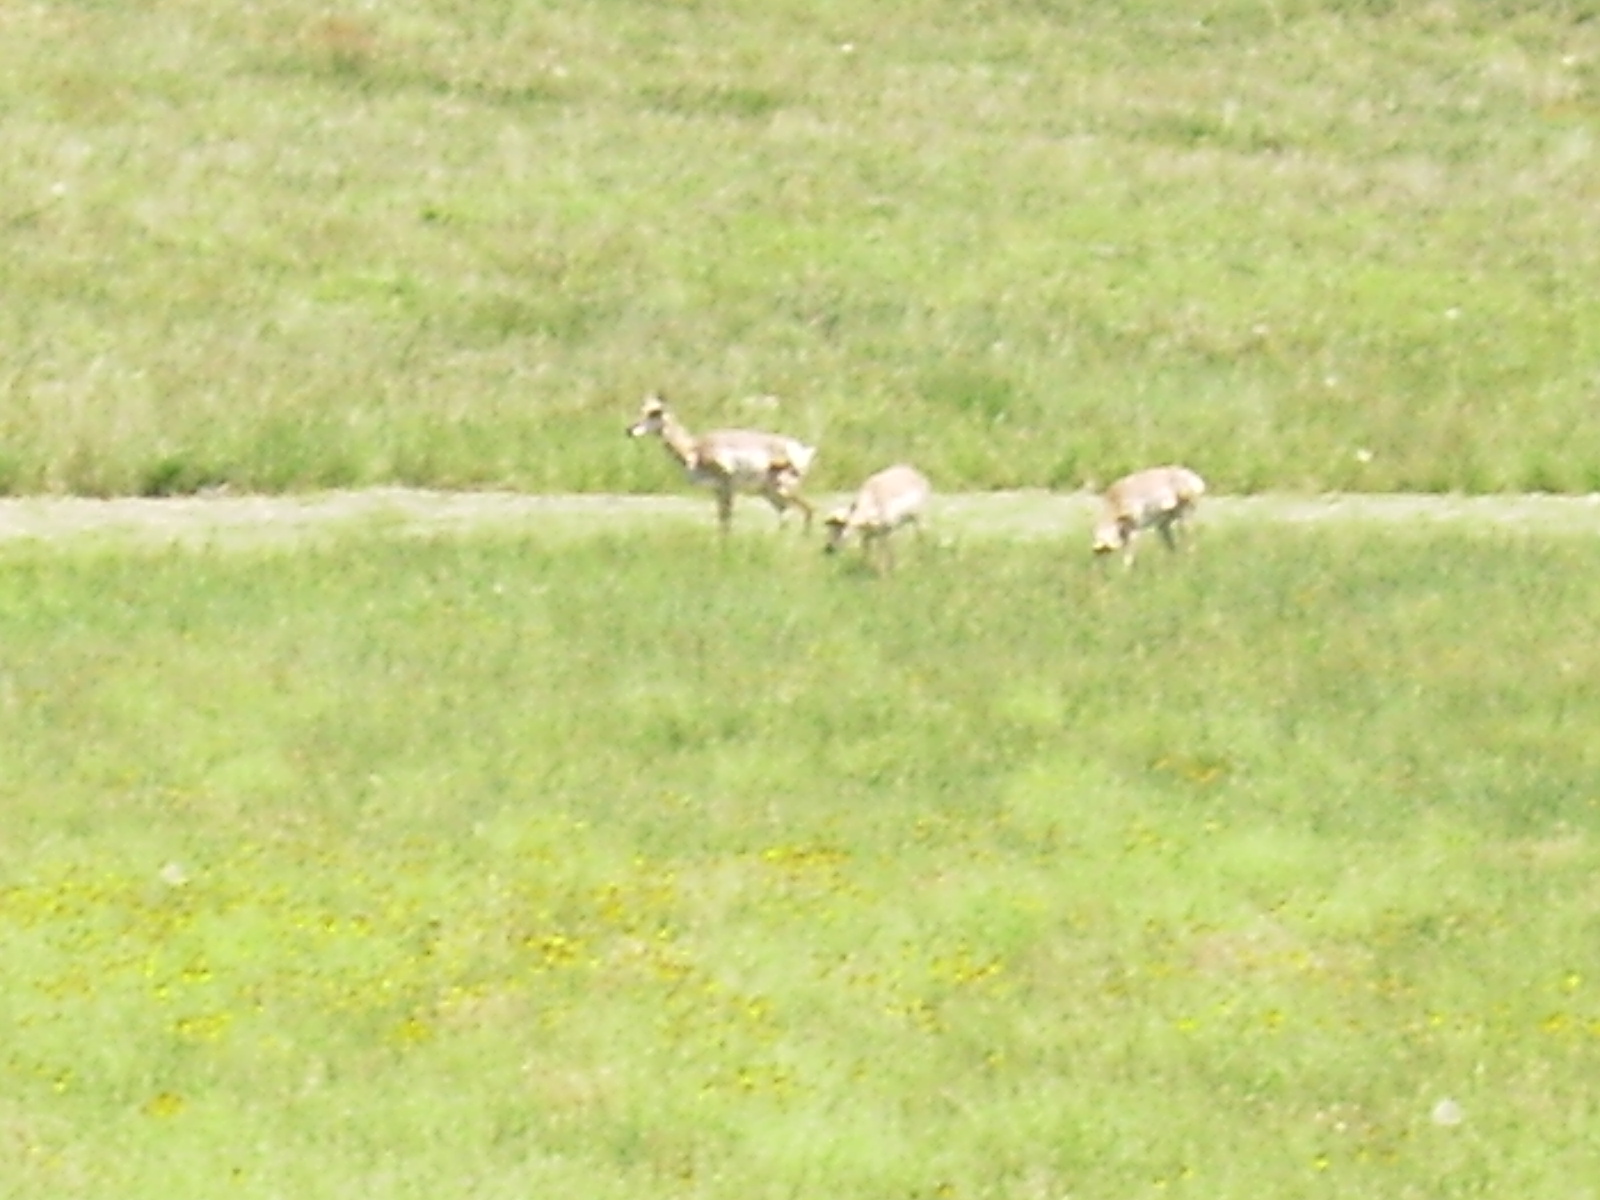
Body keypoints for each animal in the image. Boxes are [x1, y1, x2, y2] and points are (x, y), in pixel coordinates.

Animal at [626, 392, 817, 534]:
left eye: (655, 412)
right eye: (641, 409)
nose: (629, 430)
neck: (694, 448)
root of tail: (800, 448)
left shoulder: (726, 487)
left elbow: (726, 519)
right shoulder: (717, 490)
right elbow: (722, 520)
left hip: (784, 489)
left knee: (809, 509)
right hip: (770, 492)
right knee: (786, 517)